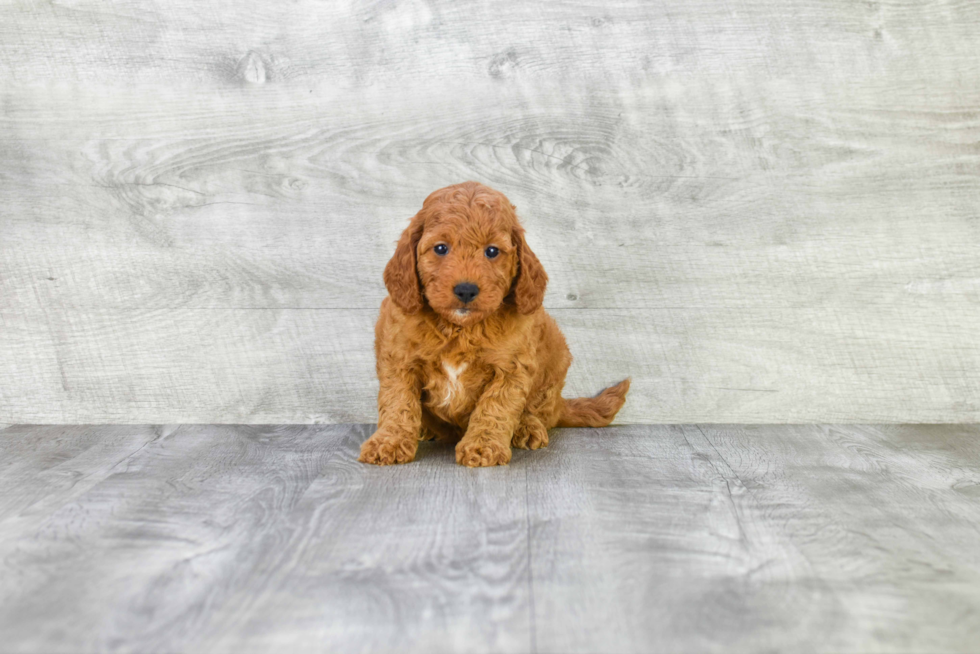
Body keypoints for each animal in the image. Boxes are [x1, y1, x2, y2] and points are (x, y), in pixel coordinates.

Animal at [358, 181, 628, 466]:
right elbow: (398, 403)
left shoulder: (512, 368)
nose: (466, 290)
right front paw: (388, 442)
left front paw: (482, 447)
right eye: (441, 248)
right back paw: (425, 428)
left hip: (555, 359)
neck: (461, 328)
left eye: (492, 251)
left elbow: (494, 408)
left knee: (540, 411)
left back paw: (527, 427)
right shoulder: (399, 360)